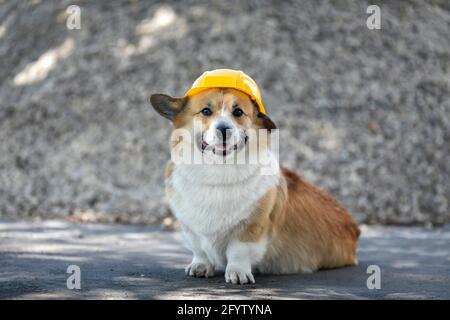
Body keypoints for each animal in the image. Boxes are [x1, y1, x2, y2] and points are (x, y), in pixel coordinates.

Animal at [149, 79, 360, 284]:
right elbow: (199, 249)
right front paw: (200, 266)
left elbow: (238, 251)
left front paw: (238, 273)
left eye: (238, 112)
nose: (224, 129)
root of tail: (355, 230)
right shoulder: (190, 228)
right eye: (206, 111)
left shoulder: (251, 227)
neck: (218, 172)